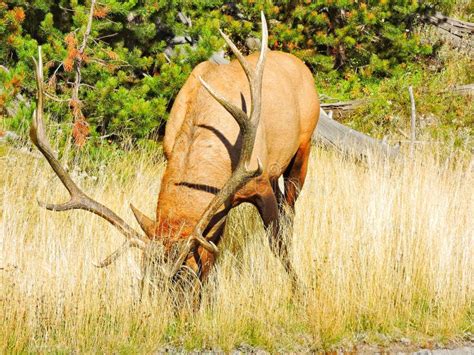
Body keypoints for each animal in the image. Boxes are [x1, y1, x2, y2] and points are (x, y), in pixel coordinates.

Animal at [29, 13, 318, 290]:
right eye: (147, 280)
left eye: (184, 276)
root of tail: (301, 65)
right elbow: (215, 248)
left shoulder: (257, 180)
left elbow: (277, 243)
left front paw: (298, 290)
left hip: (302, 149)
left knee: (289, 210)